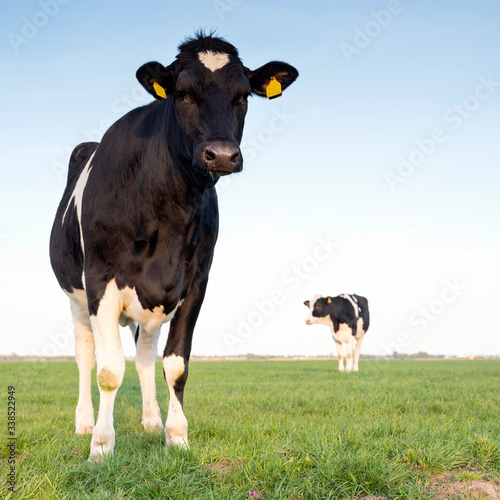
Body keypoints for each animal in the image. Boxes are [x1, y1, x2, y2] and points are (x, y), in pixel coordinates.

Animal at [50, 32, 296, 460]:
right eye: (181, 93)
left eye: (244, 95)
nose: (222, 155)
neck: (168, 209)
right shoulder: (99, 280)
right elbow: (109, 369)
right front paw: (101, 446)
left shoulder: (196, 280)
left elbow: (175, 364)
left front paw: (176, 436)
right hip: (76, 296)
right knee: (85, 355)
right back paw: (84, 423)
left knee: (146, 354)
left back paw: (150, 421)